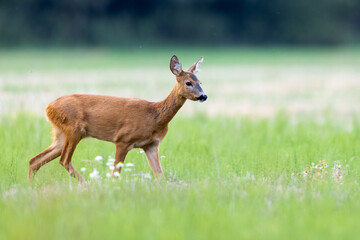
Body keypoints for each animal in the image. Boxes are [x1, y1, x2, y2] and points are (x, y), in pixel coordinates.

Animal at [27, 54, 208, 182]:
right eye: (188, 82)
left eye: (200, 82)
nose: (203, 96)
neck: (154, 116)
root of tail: (48, 107)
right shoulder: (123, 139)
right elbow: (116, 173)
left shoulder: (151, 145)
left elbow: (160, 175)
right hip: (74, 129)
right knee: (64, 160)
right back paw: (86, 183)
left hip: (60, 134)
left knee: (34, 160)